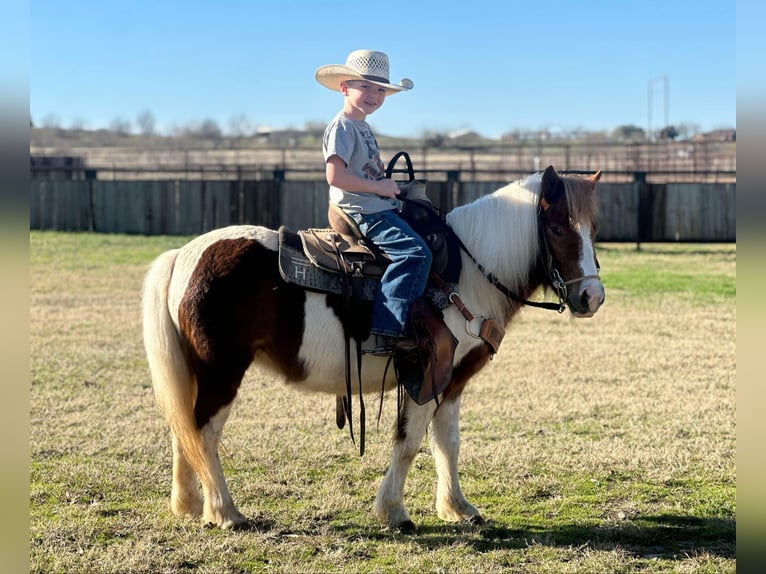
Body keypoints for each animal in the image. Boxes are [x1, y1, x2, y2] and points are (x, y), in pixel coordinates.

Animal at [141, 165, 604, 531]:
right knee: (204, 431)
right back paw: (225, 512)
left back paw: (189, 504)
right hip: (222, 370)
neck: (467, 274)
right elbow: (409, 441)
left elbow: (447, 442)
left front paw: (458, 508)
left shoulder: (452, 381)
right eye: (557, 228)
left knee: (183, 426)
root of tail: (183, 254)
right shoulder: (426, 374)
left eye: (593, 230)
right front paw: (394, 511)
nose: (592, 297)